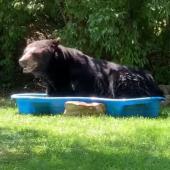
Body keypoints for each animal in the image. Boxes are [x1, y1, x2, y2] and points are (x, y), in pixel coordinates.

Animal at [18, 39, 163, 98]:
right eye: (25, 51)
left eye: (34, 53)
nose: (21, 61)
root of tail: (152, 78)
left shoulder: (81, 76)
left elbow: (72, 90)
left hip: (125, 76)